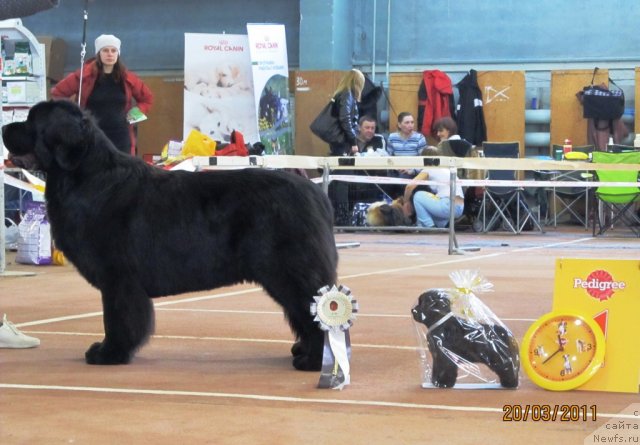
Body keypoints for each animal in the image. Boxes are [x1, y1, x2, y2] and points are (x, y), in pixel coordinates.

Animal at [2, 99, 338, 370]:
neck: (85, 177)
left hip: (288, 269)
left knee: (315, 312)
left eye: (31, 121)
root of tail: (315, 194)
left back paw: (312, 360)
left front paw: (109, 353)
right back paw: (304, 352)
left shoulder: (118, 277)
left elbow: (117, 318)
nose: (5, 126)